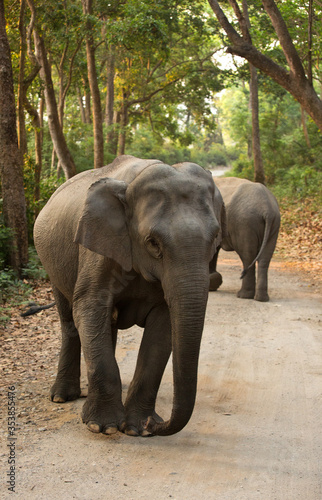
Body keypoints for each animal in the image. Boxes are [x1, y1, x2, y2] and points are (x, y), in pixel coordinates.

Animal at [32, 154, 224, 436]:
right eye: (153, 242)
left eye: (215, 237)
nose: (154, 425)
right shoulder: (97, 250)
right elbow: (89, 308)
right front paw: (103, 427)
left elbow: (162, 329)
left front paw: (135, 428)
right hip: (52, 263)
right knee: (69, 320)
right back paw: (61, 396)